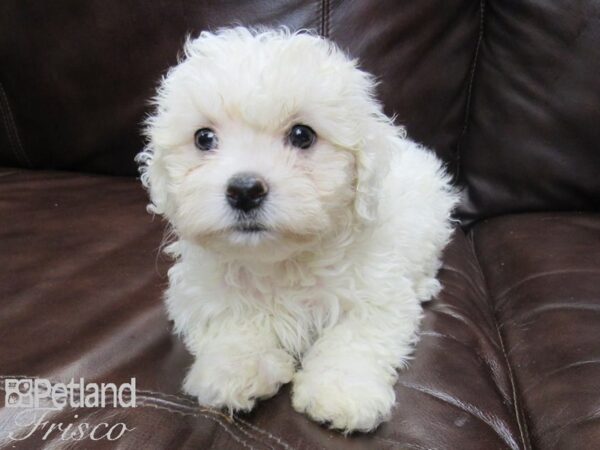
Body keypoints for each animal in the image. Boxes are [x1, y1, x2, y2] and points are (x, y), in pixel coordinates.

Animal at [138, 25, 458, 432]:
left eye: (302, 135)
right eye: (204, 138)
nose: (245, 190)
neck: (279, 262)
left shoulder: (376, 293)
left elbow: (356, 337)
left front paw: (341, 391)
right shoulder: (204, 295)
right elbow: (233, 325)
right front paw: (235, 370)